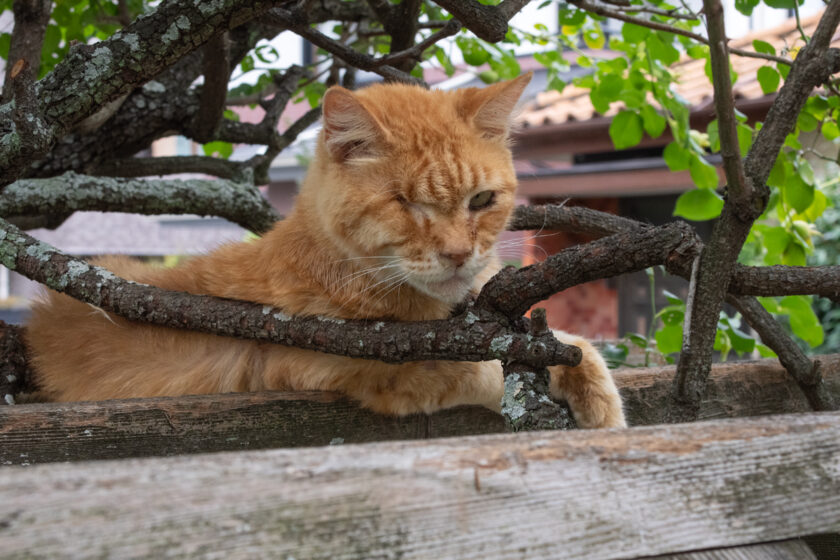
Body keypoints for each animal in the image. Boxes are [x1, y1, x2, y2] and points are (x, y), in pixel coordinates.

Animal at [24, 73, 624, 428]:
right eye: (405, 204)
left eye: (481, 200)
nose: (458, 254)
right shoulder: (360, 372)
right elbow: (482, 371)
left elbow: (575, 344)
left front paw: (599, 399)